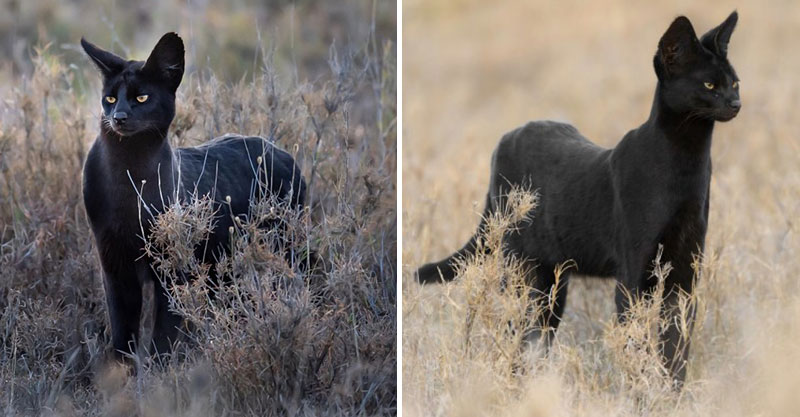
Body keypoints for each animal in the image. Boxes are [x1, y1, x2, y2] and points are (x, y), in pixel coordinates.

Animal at [81, 33, 306, 358]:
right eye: (110, 98)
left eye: (142, 98)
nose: (119, 116)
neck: (128, 172)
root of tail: (283, 152)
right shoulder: (114, 266)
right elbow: (122, 334)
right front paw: (120, 369)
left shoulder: (172, 269)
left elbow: (163, 333)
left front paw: (159, 369)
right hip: (222, 268)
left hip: (285, 247)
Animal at [416, 11, 740, 386]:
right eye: (709, 86)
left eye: (735, 83)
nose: (736, 103)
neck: (689, 157)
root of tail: (505, 139)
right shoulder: (634, 275)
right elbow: (638, 345)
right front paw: (640, 391)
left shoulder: (685, 275)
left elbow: (676, 346)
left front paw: (672, 392)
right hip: (520, 273)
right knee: (516, 332)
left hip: (553, 283)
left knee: (535, 338)